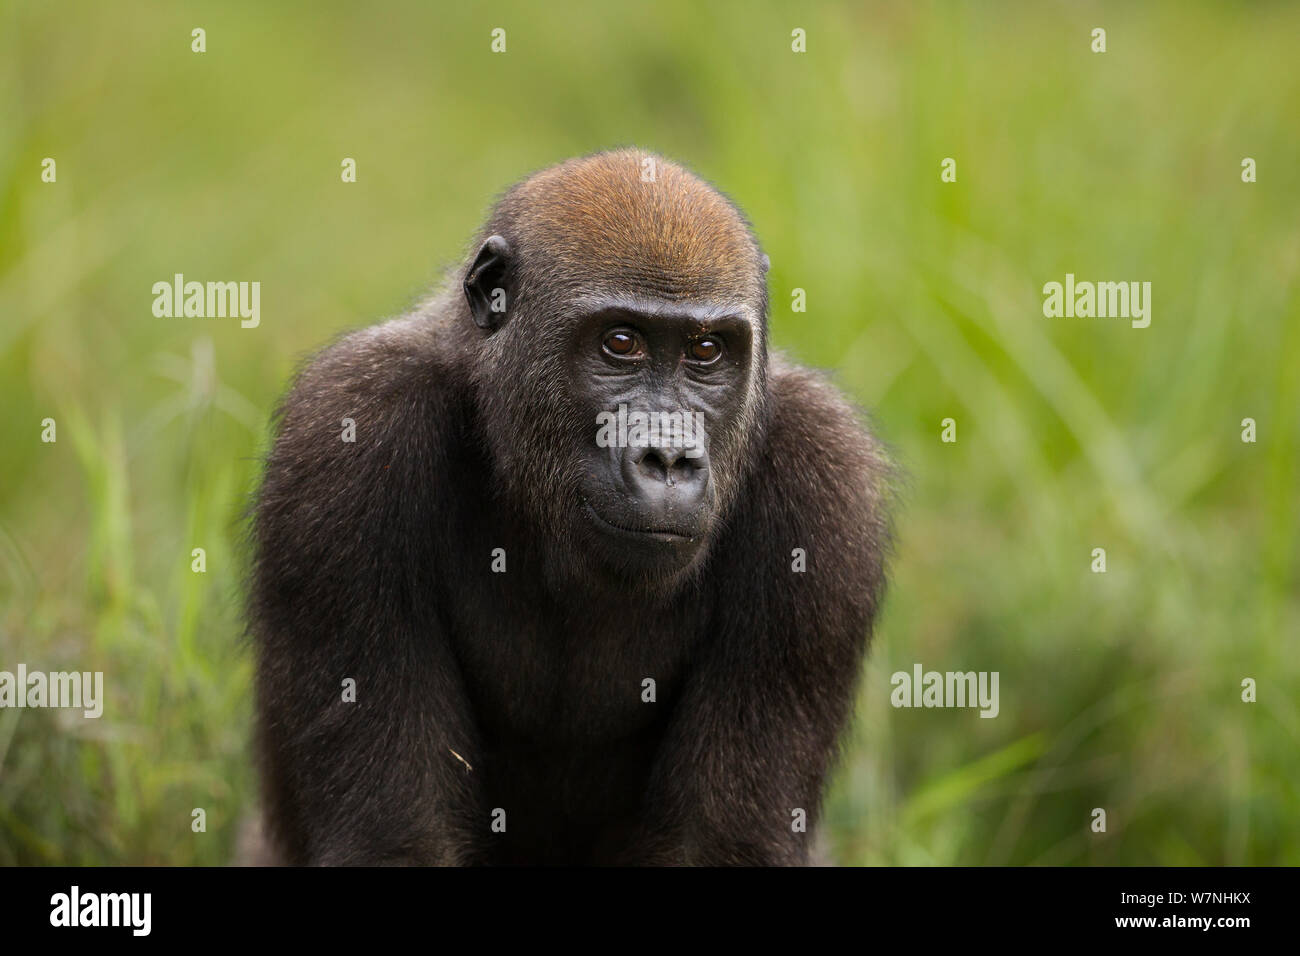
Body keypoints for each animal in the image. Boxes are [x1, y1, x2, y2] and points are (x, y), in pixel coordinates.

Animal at [245, 147, 894, 868]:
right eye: (620, 343)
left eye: (706, 350)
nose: (668, 458)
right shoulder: (350, 426)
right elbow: (394, 839)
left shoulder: (825, 469)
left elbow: (722, 843)